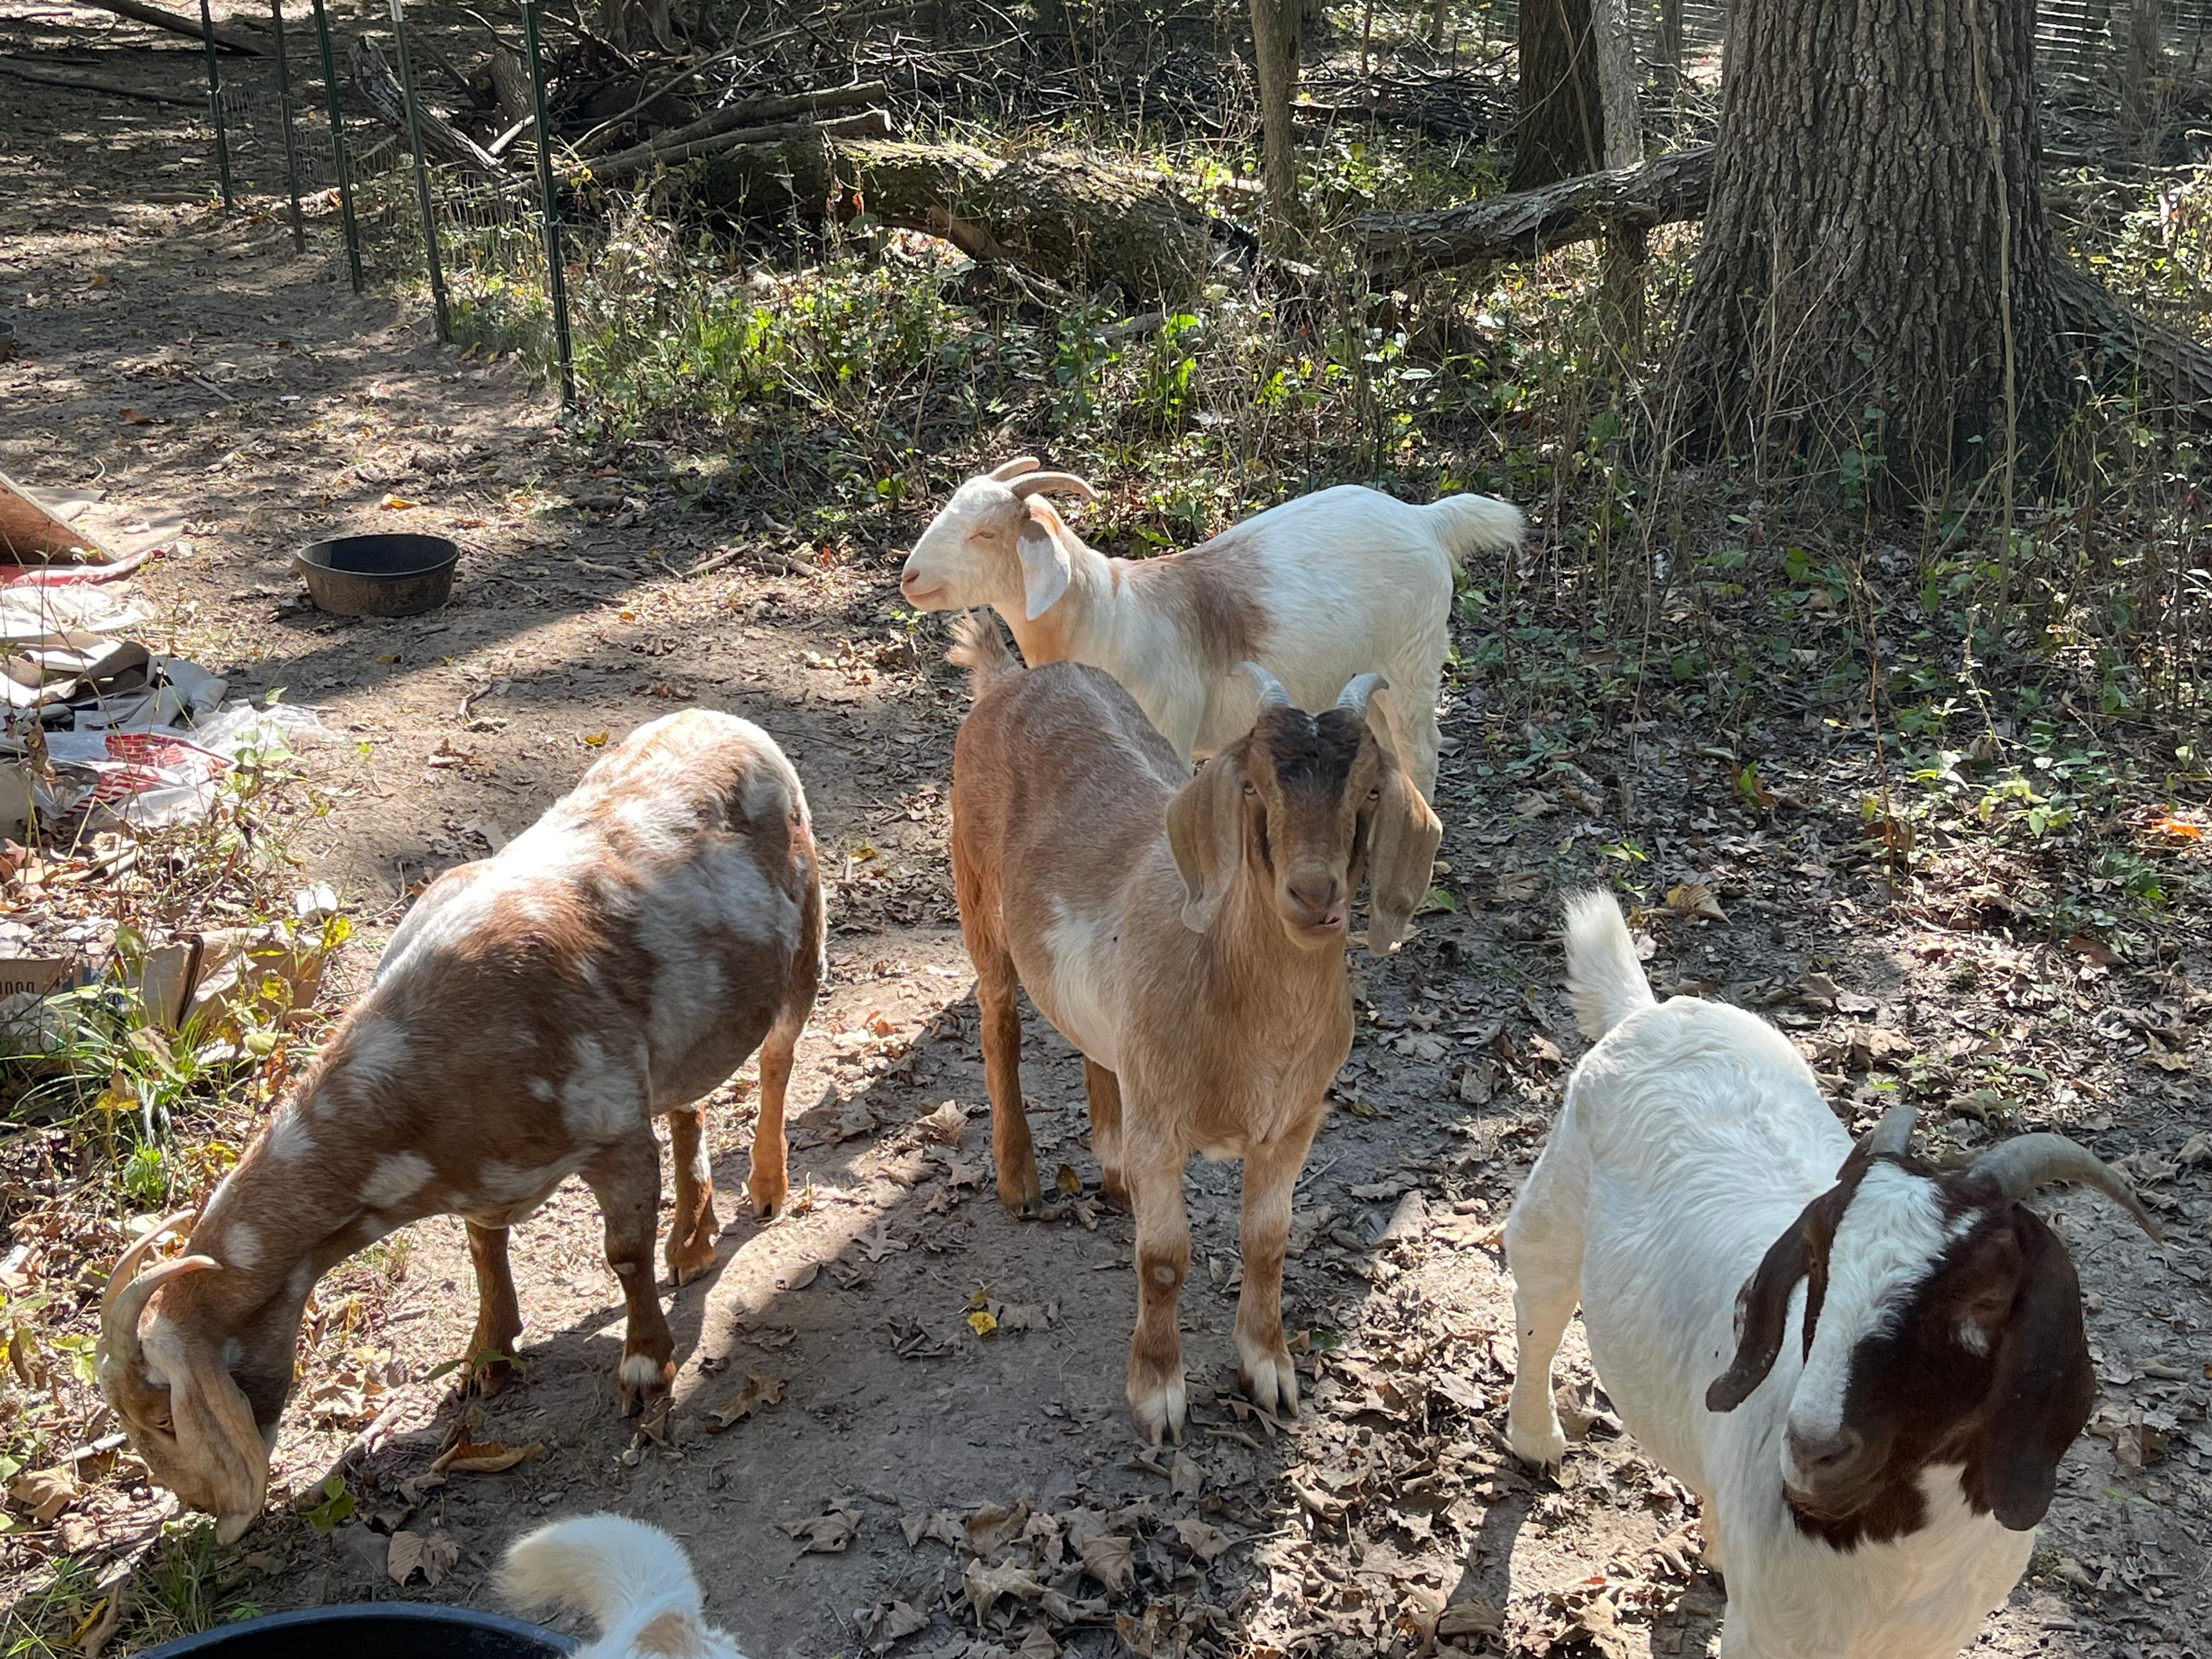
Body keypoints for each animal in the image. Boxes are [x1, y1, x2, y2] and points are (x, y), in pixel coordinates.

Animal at [96, 710, 824, 1541]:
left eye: (163, 1415)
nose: (199, 1506)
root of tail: (726, 720)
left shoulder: (611, 1128)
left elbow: (623, 1254)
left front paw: (645, 1370)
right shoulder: (489, 1168)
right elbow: (483, 1245)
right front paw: (488, 1358)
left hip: (803, 934)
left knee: (776, 1058)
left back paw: (764, 1189)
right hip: (688, 1022)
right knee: (689, 1098)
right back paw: (694, 1243)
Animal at [899, 456, 1522, 801]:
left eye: (985, 533)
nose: (909, 576)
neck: (1109, 614)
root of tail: (1425, 518)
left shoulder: (1167, 728)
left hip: (1413, 660)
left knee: (1424, 749)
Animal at [947, 612, 1440, 1443]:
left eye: (1371, 788)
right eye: (1253, 786)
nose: (1314, 895)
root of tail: (1011, 678)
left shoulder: (1292, 1126)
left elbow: (1268, 1244)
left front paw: (1270, 1371)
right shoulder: (1163, 1125)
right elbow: (1165, 1259)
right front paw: (1158, 1395)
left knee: (1092, 1048)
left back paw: (1112, 1176)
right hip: (975, 885)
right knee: (999, 1020)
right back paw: (1020, 1180)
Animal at [1505, 891, 2163, 1659]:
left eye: (1989, 1297)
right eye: (1818, 1263)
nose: (1813, 1450)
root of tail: (1650, 1011)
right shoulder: (1766, 1636)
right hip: (1554, 1214)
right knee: (1540, 1310)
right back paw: (1537, 1439)